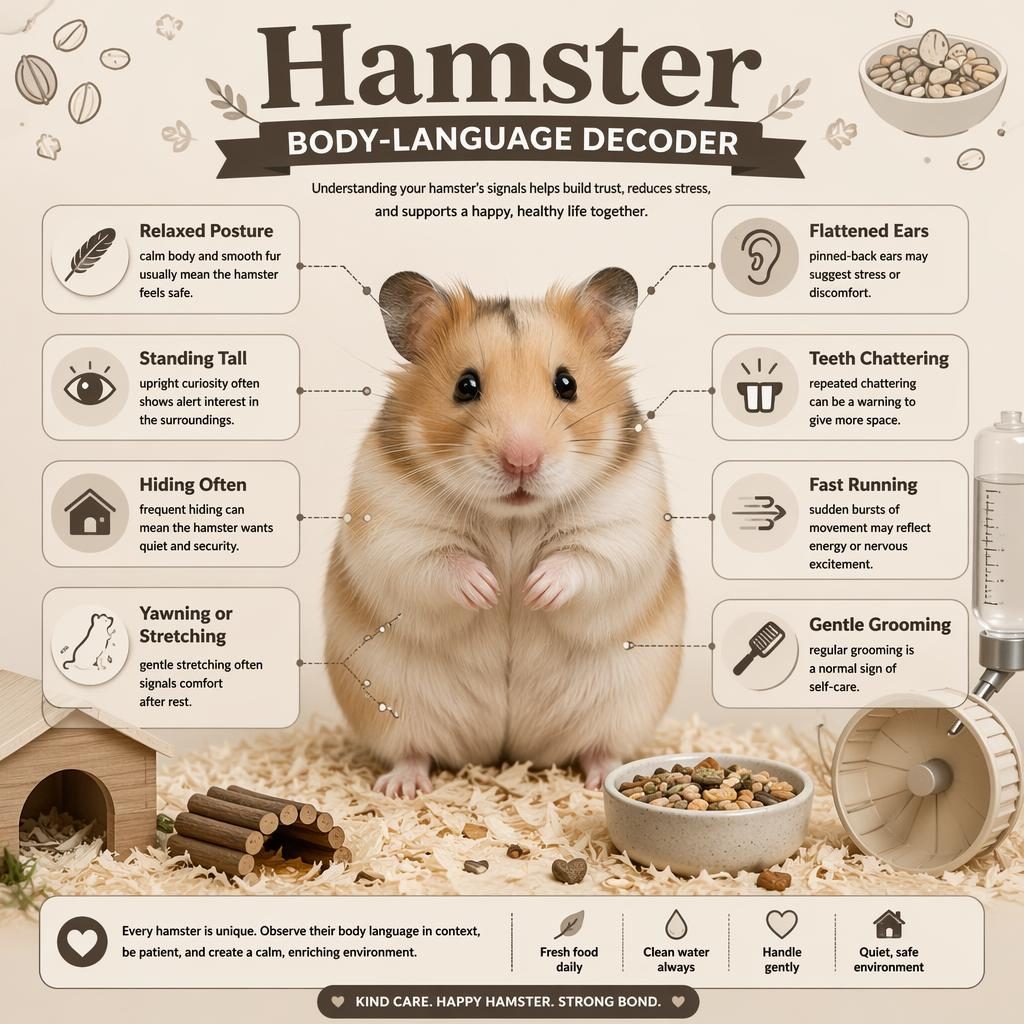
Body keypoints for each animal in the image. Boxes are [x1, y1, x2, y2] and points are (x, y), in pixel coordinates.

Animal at [323, 267, 685, 797]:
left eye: (567, 383)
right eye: (465, 385)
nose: (521, 461)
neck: (513, 517)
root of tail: (506, 749)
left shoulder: (624, 525)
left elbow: (582, 558)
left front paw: (532, 591)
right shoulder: (392, 529)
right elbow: (437, 561)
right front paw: (490, 590)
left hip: (624, 707)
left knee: (600, 747)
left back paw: (600, 780)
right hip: (390, 710)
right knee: (412, 750)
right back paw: (402, 786)